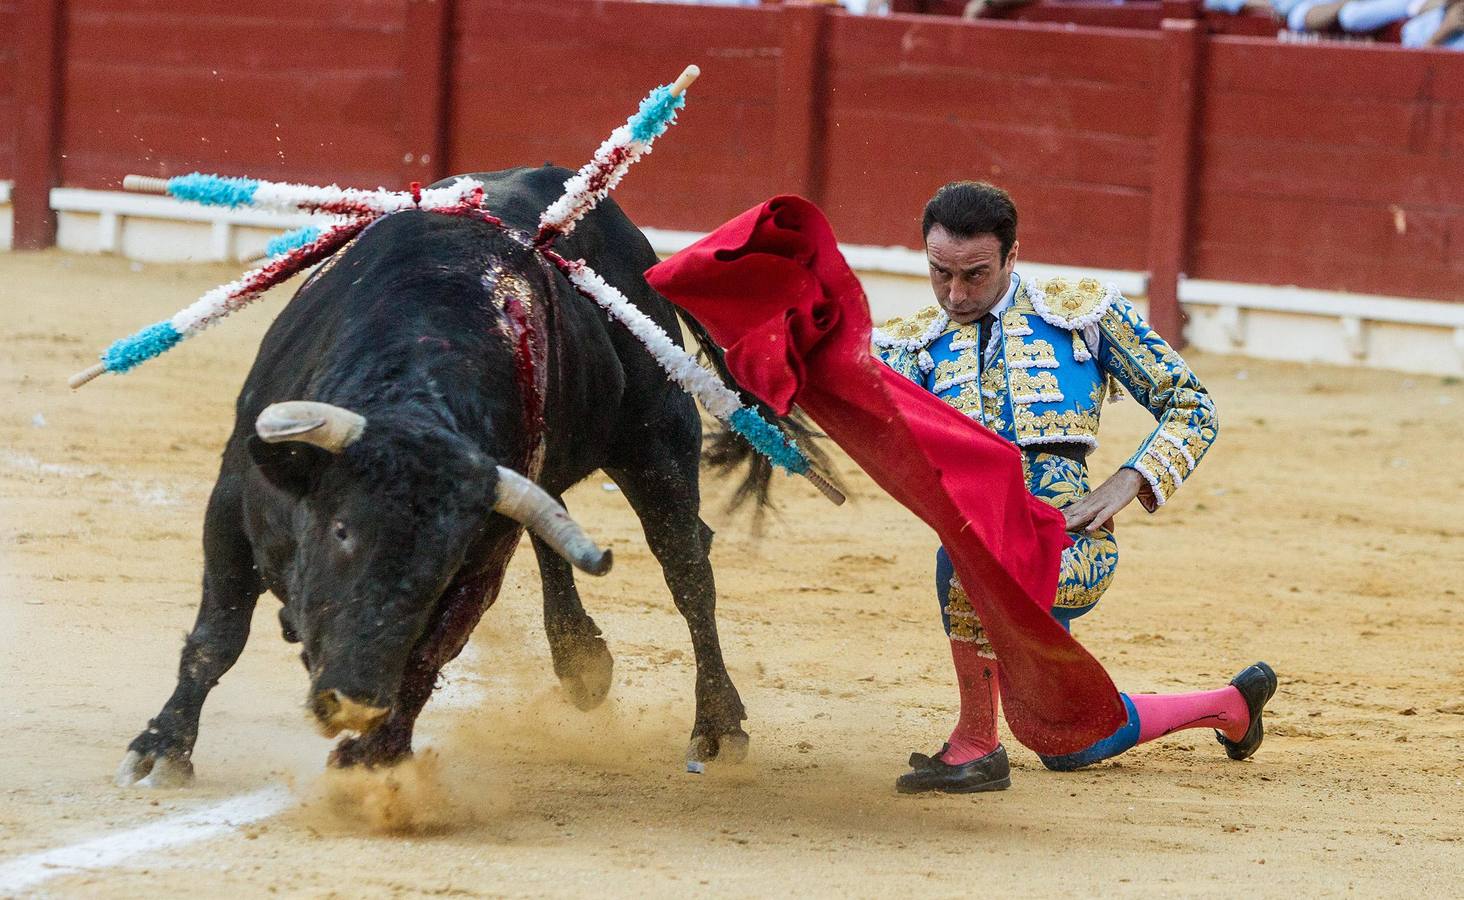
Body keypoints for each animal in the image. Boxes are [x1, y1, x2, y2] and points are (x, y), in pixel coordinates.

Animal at [115, 165, 790, 784]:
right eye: (342, 530)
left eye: (441, 562)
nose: (354, 699)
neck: (418, 372)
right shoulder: (231, 501)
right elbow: (218, 634)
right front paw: (162, 748)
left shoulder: (480, 558)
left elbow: (429, 655)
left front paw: (374, 757)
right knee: (563, 528)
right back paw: (582, 664)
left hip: (658, 444)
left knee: (686, 567)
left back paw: (716, 727)